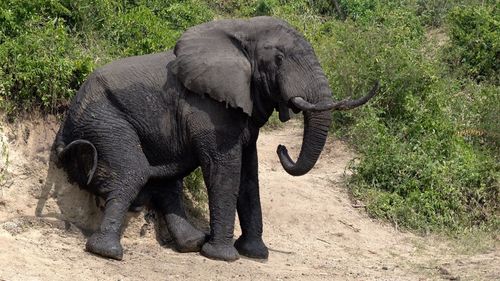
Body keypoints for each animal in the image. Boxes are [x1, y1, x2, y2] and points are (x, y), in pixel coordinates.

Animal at [54, 15, 376, 260]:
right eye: (279, 59)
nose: (282, 147)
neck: (242, 29)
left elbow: (248, 173)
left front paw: (255, 254)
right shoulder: (209, 109)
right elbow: (224, 168)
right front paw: (223, 256)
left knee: (164, 181)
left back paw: (192, 243)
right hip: (103, 119)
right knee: (133, 171)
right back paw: (108, 252)